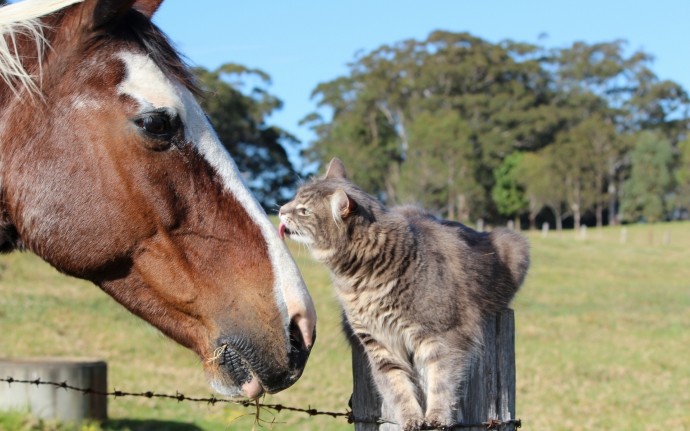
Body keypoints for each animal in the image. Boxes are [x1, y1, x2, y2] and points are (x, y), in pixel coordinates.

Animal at [276, 159, 528, 431]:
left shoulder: (445, 336)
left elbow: (442, 382)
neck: (359, 279)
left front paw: (437, 417)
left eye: (304, 210)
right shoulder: (379, 344)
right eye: (294, 200)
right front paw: (411, 418)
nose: (280, 210)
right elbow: (396, 387)